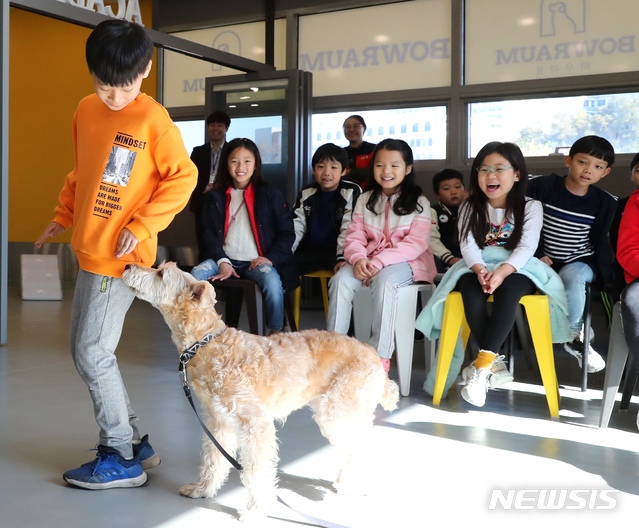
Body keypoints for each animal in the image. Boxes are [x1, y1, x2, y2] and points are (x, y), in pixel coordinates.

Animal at [122, 260, 398, 520]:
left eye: (161, 273)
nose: (126, 265)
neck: (207, 343)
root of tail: (373, 354)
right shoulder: (218, 422)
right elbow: (213, 459)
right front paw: (203, 489)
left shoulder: (255, 424)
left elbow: (255, 471)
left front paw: (256, 509)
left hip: (338, 415)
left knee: (358, 447)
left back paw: (349, 485)